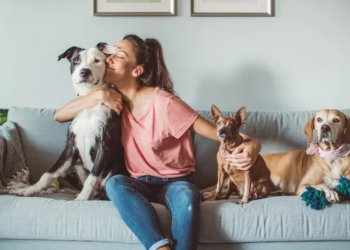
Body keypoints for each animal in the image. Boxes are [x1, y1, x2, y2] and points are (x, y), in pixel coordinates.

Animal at [15, 44, 128, 201]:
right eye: (76, 60)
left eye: (97, 60)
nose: (84, 71)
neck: (89, 100)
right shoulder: (70, 146)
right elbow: (48, 174)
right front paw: (31, 189)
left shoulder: (105, 146)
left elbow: (91, 178)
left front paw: (82, 199)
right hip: (72, 166)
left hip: (113, 171)